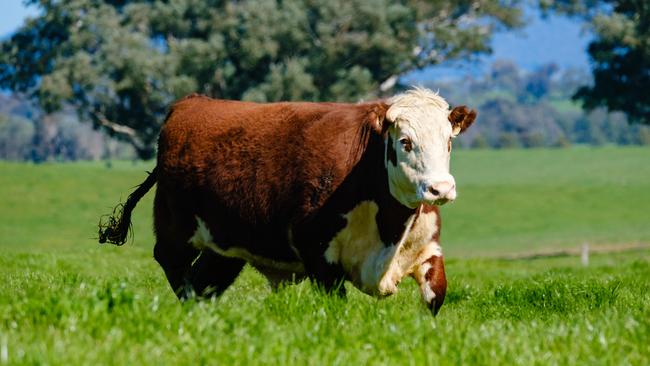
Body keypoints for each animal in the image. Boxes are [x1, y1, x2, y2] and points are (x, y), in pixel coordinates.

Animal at [101, 88, 476, 314]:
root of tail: (190, 102)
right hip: (175, 225)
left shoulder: (427, 249)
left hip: (226, 245)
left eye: (449, 142)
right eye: (405, 141)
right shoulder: (318, 251)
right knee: (173, 265)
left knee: (205, 279)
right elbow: (335, 303)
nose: (440, 189)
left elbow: (436, 294)